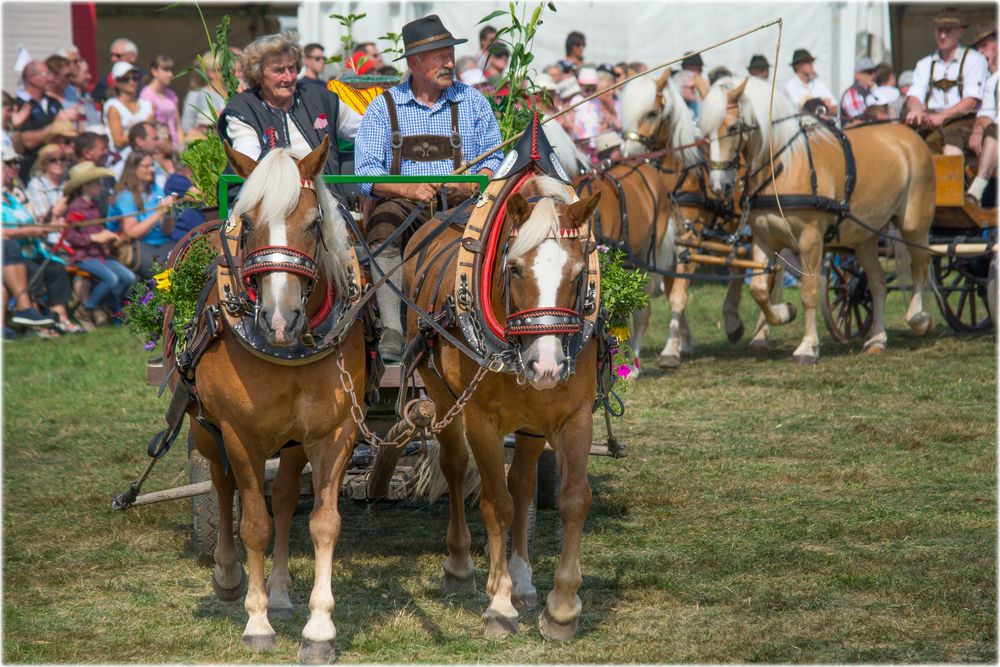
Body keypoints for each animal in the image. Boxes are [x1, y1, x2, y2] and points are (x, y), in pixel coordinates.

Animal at [173, 137, 368, 664]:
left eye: (315, 222)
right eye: (248, 224)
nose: (281, 320)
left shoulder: (334, 433)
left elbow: (323, 523)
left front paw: (318, 628)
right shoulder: (240, 435)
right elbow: (254, 525)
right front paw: (257, 621)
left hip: (292, 439)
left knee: (282, 498)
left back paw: (280, 594)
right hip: (205, 427)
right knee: (222, 486)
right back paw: (228, 574)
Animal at [404, 126, 600, 640]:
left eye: (579, 275)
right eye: (513, 268)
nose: (546, 366)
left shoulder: (575, 415)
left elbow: (572, 500)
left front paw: (561, 607)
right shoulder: (481, 420)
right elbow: (496, 504)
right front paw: (499, 605)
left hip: (532, 422)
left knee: (525, 482)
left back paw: (524, 580)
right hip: (442, 398)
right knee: (456, 469)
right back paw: (462, 568)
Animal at [696, 77, 936, 366]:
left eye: (733, 127)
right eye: (703, 131)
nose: (719, 185)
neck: (783, 167)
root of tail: (910, 135)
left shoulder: (810, 240)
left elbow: (808, 293)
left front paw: (808, 346)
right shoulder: (764, 239)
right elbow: (759, 289)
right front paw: (782, 314)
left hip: (914, 224)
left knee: (920, 266)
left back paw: (919, 319)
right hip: (865, 236)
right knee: (878, 282)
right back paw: (877, 339)